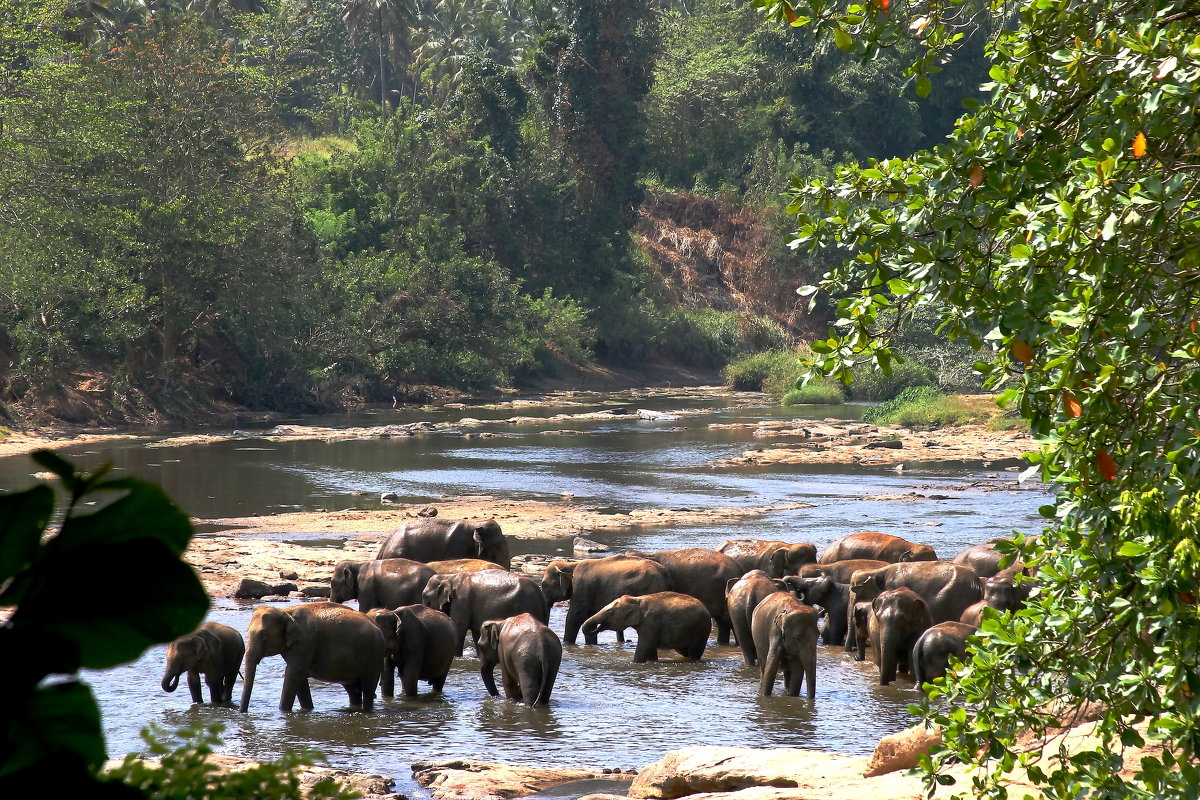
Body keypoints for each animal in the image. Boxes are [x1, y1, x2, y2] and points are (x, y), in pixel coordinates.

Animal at [236, 599, 381, 714]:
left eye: (265, 636)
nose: (242, 713)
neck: (286, 613)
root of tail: (378, 628)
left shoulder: (305, 643)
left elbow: (293, 674)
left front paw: (283, 712)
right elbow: (299, 680)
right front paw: (307, 710)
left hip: (373, 656)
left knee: (368, 688)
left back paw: (366, 711)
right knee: (352, 689)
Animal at [580, 587, 710, 662]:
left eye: (611, 612)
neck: (637, 599)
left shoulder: (651, 622)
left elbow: (645, 645)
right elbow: (650, 648)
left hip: (701, 629)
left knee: (694, 653)